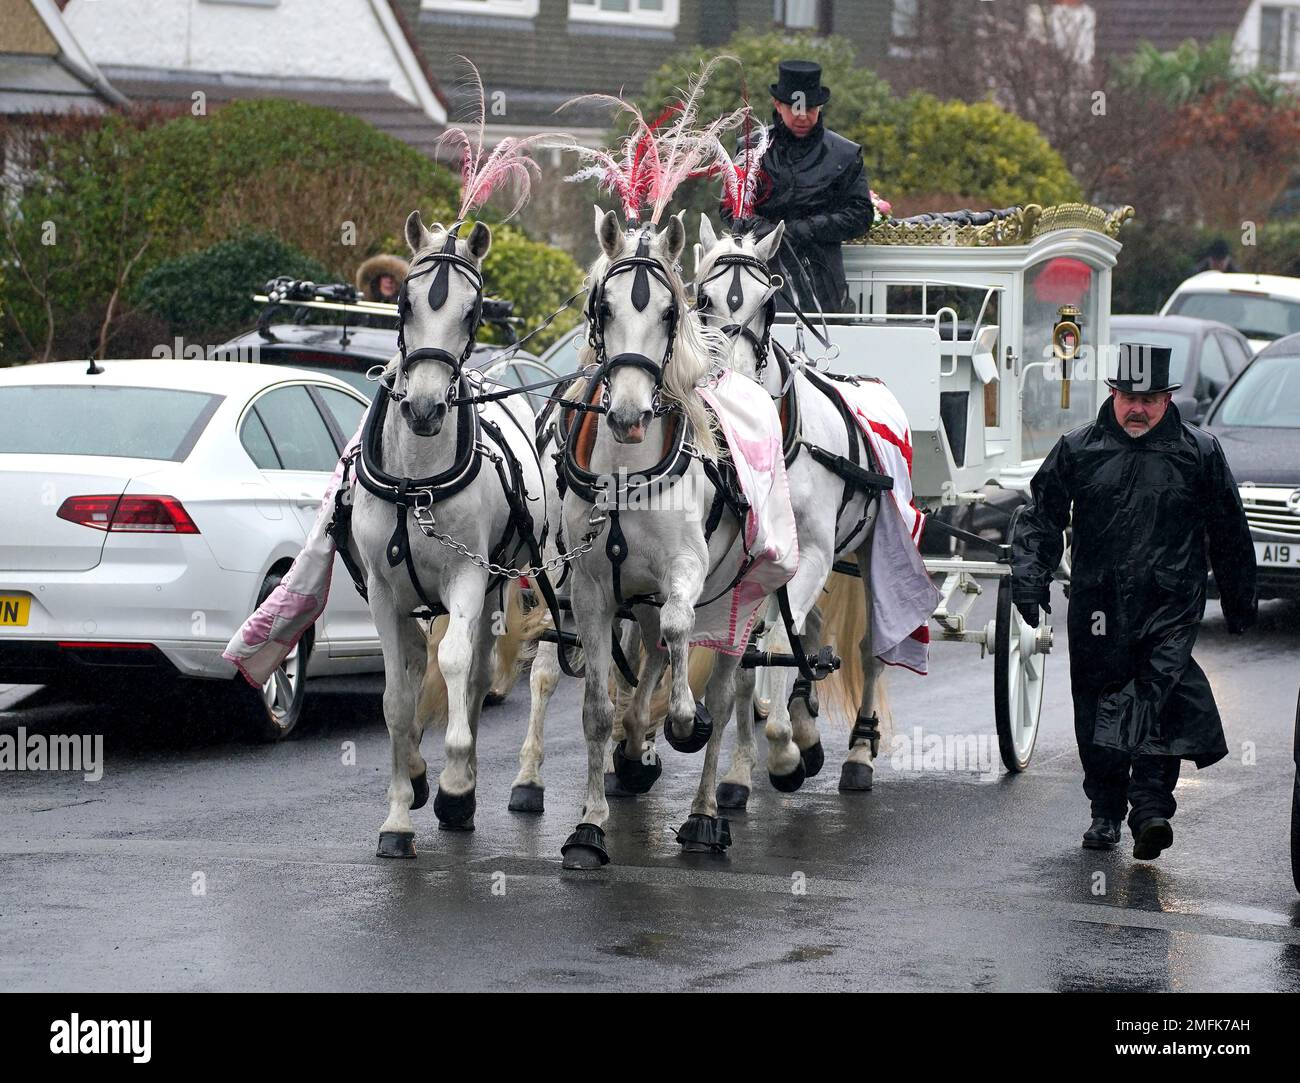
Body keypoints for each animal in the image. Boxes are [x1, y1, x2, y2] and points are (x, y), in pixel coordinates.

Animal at [348, 209, 546, 852]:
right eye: (404, 304)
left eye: (473, 310)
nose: (426, 408)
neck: (416, 479)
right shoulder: (383, 593)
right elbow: (394, 699)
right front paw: (398, 814)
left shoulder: (466, 575)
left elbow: (457, 664)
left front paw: (456, 783)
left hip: (494, 581)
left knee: (478, 670)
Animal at [696, 213, 889, 800]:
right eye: (703, 298)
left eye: (770, 302)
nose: (734, 387)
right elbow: (752, 652)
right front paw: (742, 770)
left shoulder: (818, 555)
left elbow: (777, 641)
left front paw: (782, 751)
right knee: (806, 631)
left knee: (869, 648)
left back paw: (858, 751)